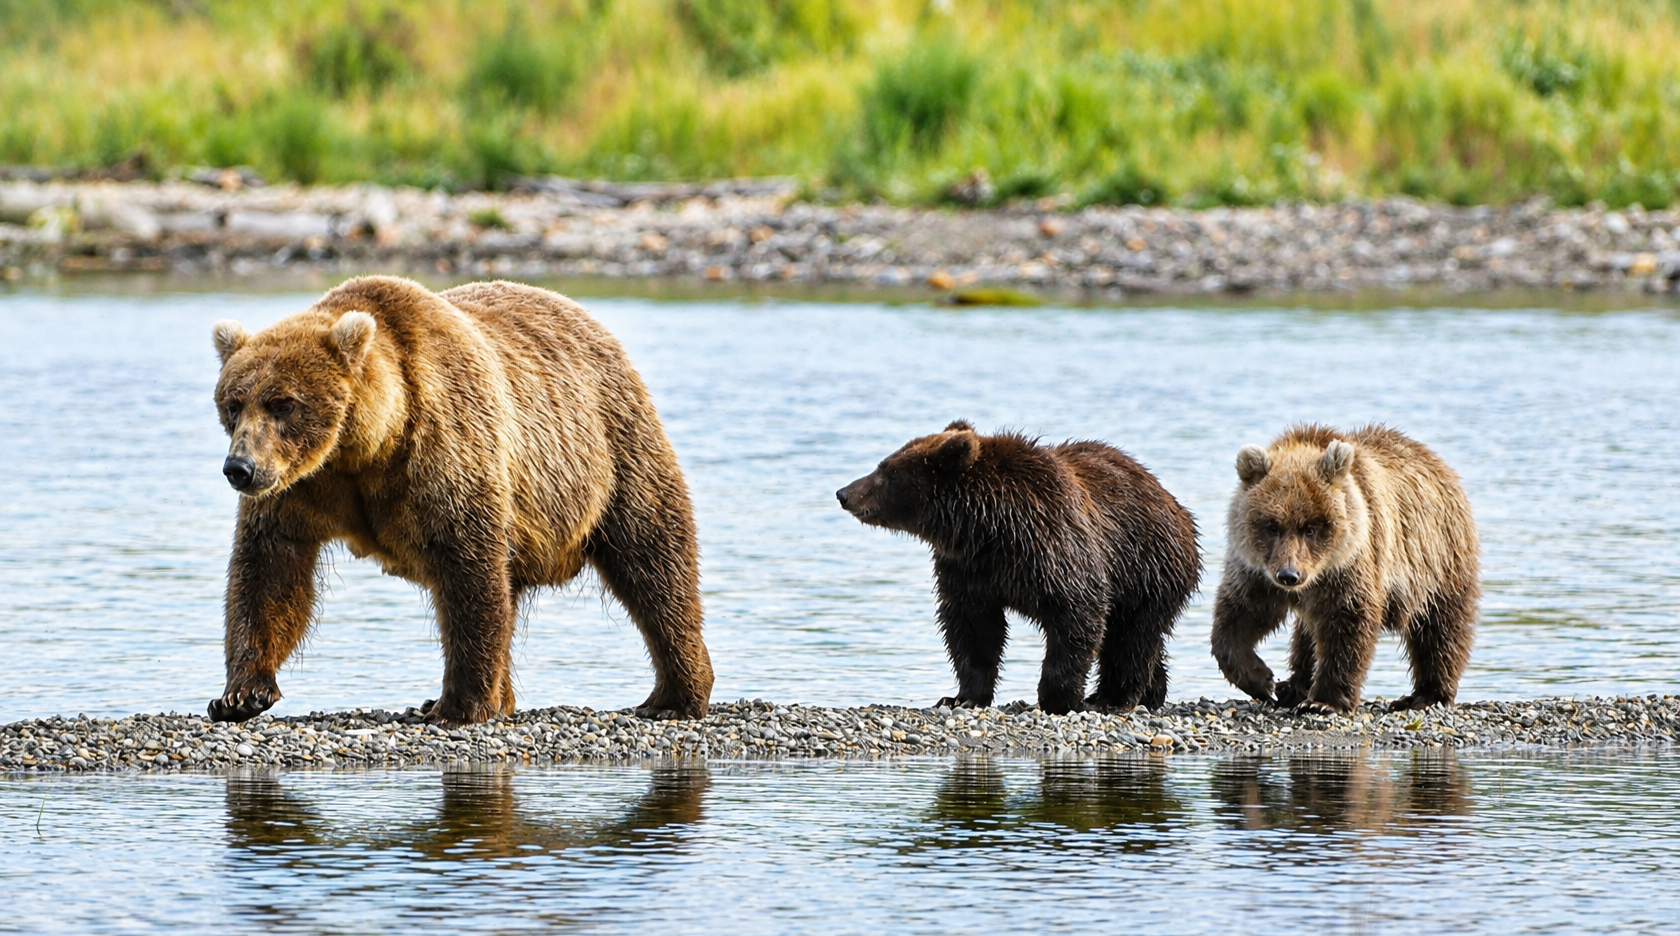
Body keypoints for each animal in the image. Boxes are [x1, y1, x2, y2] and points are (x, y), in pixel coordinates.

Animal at [207, 275, 713, 725]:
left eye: (283, 403)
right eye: (234, 403)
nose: (239, 468)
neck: (366, 447)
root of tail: (585, 316)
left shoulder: (444, 447)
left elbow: (468, 571)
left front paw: (458, 706)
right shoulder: (299, 489)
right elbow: (269, 571)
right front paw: (240, 695)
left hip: (610, 446)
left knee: (653, 558)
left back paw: (673, 696)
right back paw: (501, 698)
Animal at [836, 421, 1200, 715]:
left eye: (891, 473)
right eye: (884, 466)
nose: (844, 493)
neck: (987, 526)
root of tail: (1172, 501)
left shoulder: (1054, 548)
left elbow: (1077, 614)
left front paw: (1058, 699)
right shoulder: (967, 569)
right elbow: (972, 628)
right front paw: (961, 697)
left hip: (1146, 564)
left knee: (1132, 636)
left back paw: (1113, 698)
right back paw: (1150, 692)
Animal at [1209, 424, 1479, 715]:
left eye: (1311, 528)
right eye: (1272, 526)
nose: (1289, 575)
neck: (1316, 575)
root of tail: (1437, 461)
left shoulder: (1351, 564)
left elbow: (1347, 623)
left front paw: (1322, 702)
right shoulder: (1256, 571)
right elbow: (1240, 616)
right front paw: (1262, 681)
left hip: (1437, 558)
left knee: (1440, 628)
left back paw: (1426, 695)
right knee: (1306, 636)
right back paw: (1293, 686)